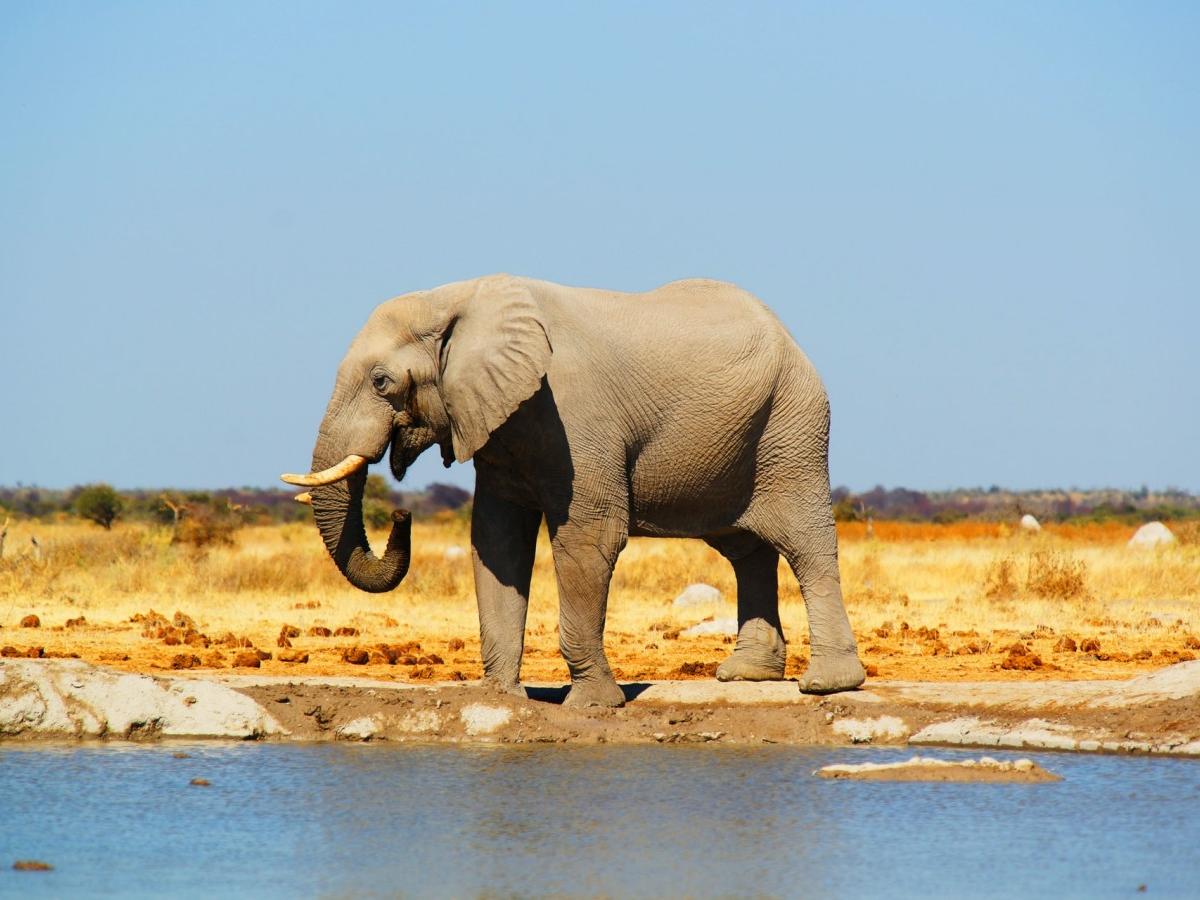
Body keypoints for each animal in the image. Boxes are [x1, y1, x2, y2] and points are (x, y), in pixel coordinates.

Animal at [282, 274, 866, 706]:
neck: (457, 299)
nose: (402, 515)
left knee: (806, 544)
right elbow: (497, 542)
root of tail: (789, 334)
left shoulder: (574, 415)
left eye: (381, 382)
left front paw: (593, 705)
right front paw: (502, 698)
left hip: (792, 427)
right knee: (746, 550)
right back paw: (744, 676)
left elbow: (589, 540)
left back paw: (827, 685)